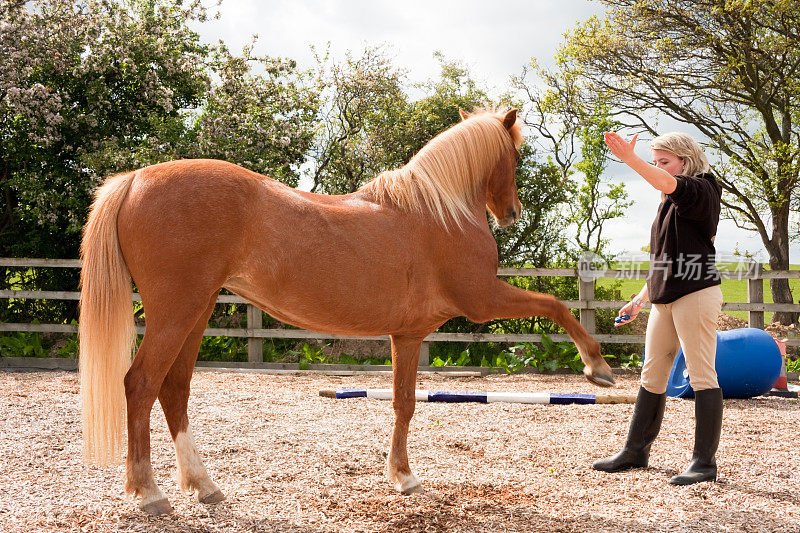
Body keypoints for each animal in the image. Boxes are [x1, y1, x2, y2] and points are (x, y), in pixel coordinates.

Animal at [81, 107, 612, 512]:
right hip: (177, 312)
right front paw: (597, 367)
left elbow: (403, 403)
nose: (511, 214)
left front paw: (402, 476)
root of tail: (134, 179)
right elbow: (557, 305)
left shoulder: (408, 335)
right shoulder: (482, 299)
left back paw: (203, 485)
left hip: (197, 311)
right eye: (515, 155)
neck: (439, 211)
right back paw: (148, 493)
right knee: (141, 384)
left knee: (174, 390)